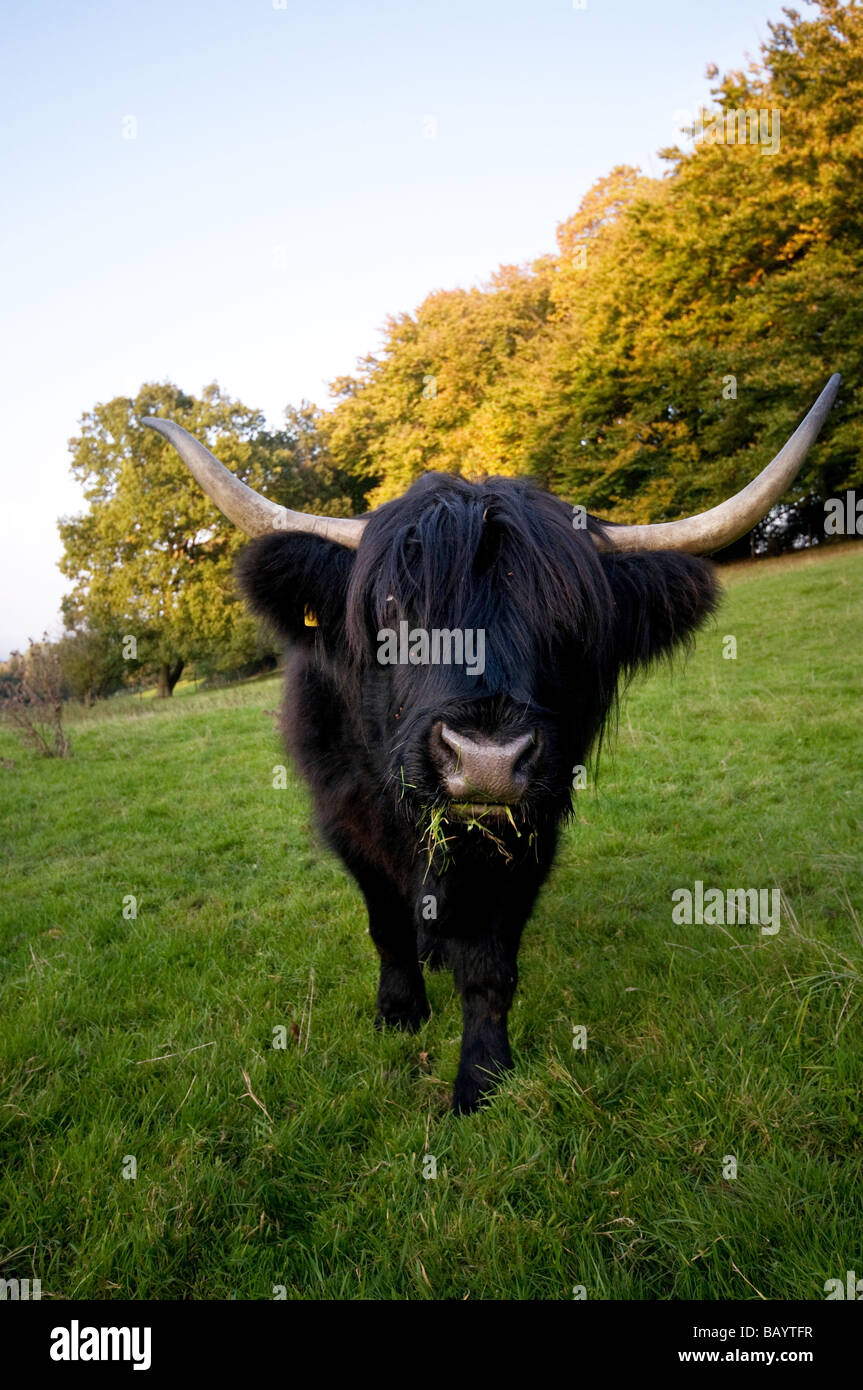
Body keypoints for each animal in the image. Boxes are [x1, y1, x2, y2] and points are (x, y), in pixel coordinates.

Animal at [144, 374, 839, 1114]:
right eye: (393, 609)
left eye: (572, 620)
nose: (485, 761)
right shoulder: (346, 819)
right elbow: (386, 922)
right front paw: (400, 1010)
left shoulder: (531, 829)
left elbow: (490, 963)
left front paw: (480, 1076)